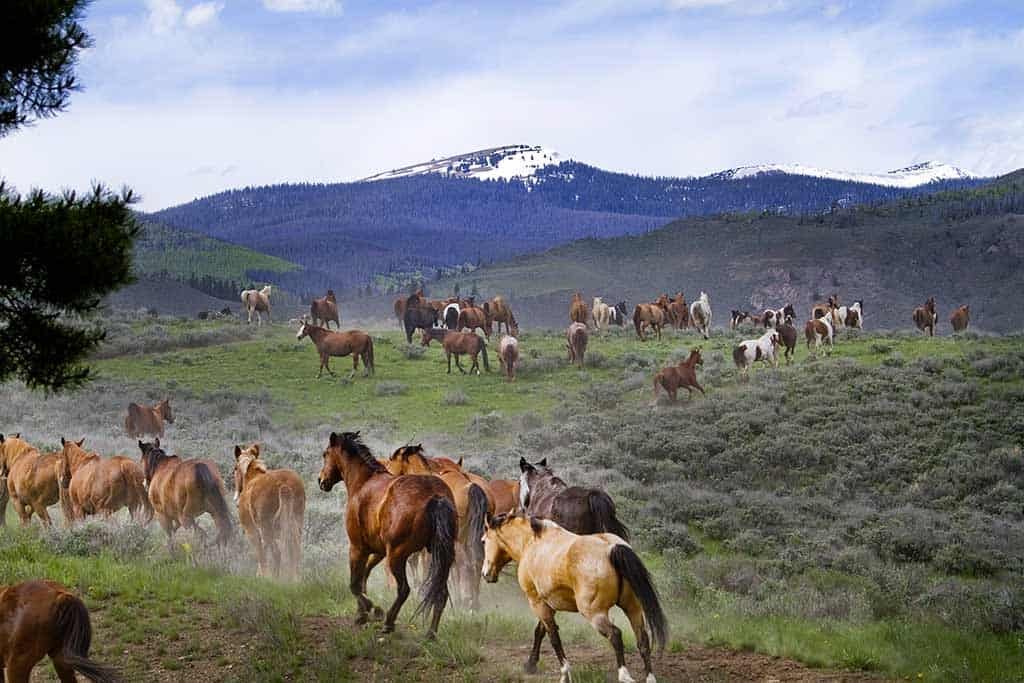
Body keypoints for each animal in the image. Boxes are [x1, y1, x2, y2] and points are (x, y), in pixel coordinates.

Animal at [233, 444, 305, 581]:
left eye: (234, 468)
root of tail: (284, 485)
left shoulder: (252, 531)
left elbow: (261, 554)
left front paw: (262, 576)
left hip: (266, 528)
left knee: (277, 553)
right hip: (296, 524)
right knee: (295, 551)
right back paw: (295, 579)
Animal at [318, 432, 457, 638]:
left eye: (325, 454)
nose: (321, 481)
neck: (363, 482)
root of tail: (436, 496)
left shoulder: (357, 548)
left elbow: (354, 584)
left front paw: (371, 610)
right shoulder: (378, 551)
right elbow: (364, 576)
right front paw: (361, 614)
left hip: (398, 557)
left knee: (404, 589)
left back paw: (389, 623)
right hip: (440, 557)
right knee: (441, 593)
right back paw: (430, 633)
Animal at [385, 445, 490, 610]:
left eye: (392, 460)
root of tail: (471, 487)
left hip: (459, 540)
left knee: (462, 564)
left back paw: (463, 600)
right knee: (476, 561)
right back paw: (474, 603)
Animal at [482, 513, 667, 683]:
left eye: (483, 541)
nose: (485, 574)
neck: (531, 543)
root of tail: (611, 548)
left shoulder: (536, 602)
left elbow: (554, 638)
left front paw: (564, 673)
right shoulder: (547, 604)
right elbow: (540, 631)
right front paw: (530, 664)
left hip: (594, 614)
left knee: (615, 635)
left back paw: (625, 676)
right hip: (632, 608)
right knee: (643, 640)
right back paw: (650, 677)